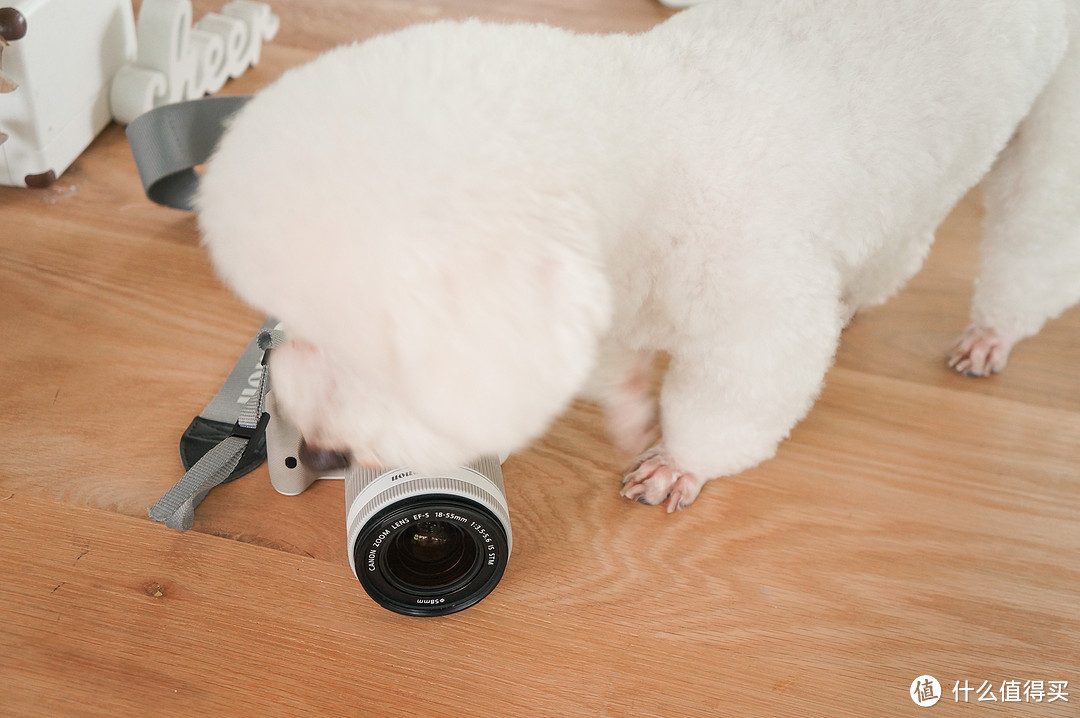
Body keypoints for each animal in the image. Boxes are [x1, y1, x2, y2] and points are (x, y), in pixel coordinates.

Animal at [196, 2, 1080, 511]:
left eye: (389, 351)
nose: (314, 453)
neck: (647, 141)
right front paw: (624, 404)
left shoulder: (755, 315)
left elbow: (736, 398)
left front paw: (676, 463)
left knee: (1036, 234)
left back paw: (993, 331)